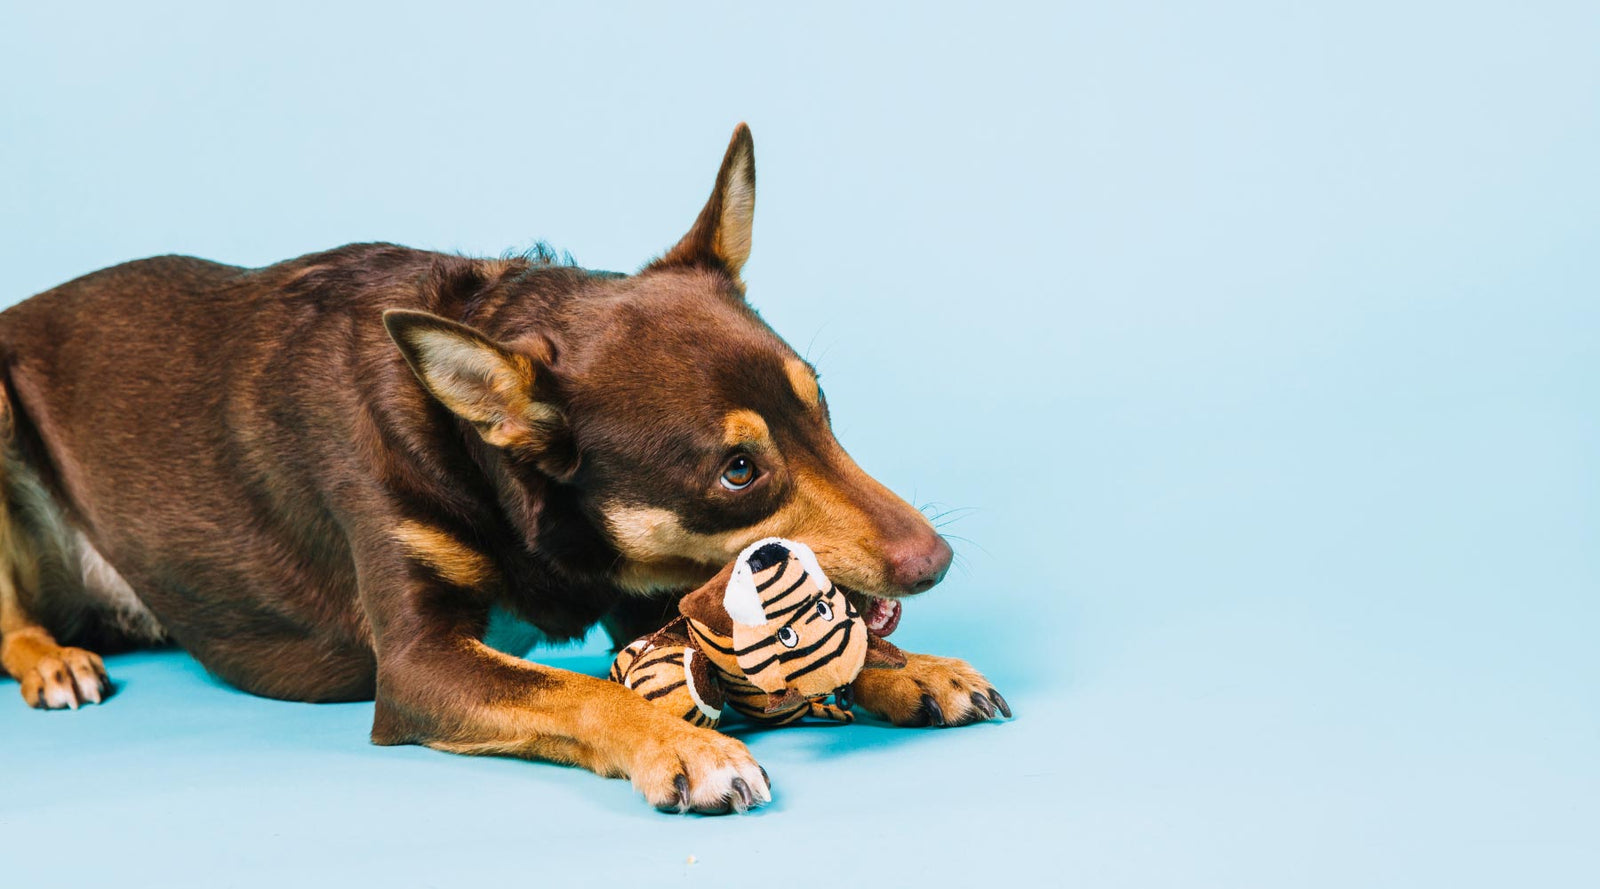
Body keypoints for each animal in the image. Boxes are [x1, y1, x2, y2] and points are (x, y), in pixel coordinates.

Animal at [0, 123, 998, 812]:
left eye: (821, 407)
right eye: (739, 472)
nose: (938, 561)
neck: (490, 468)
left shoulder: (642, 592)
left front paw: (909, 666)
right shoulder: (418, 666)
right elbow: (575, 689)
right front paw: (686, 748)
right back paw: (50, 658)